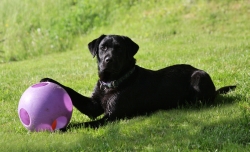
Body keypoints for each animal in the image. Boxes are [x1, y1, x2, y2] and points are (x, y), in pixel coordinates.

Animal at [40, 34, 235, 128]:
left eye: (119, 49)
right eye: (103, 48)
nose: (108, 60)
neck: (112, 82)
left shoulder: (111, 117)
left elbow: (86, 124)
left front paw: (63, 128)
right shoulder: (93, 106)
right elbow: (72, 92)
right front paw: (48, 79)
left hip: (199, 76)